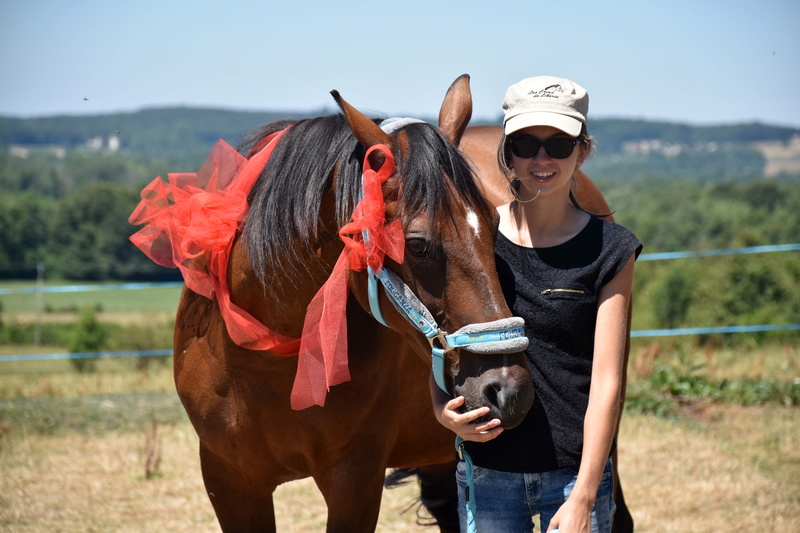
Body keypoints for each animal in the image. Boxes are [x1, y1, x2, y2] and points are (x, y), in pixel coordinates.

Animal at [130, 76, 536, 532]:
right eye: (416, 244)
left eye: (495, 224)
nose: (509, 389)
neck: (269, 353)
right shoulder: (227, 479)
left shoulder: (354, 478)